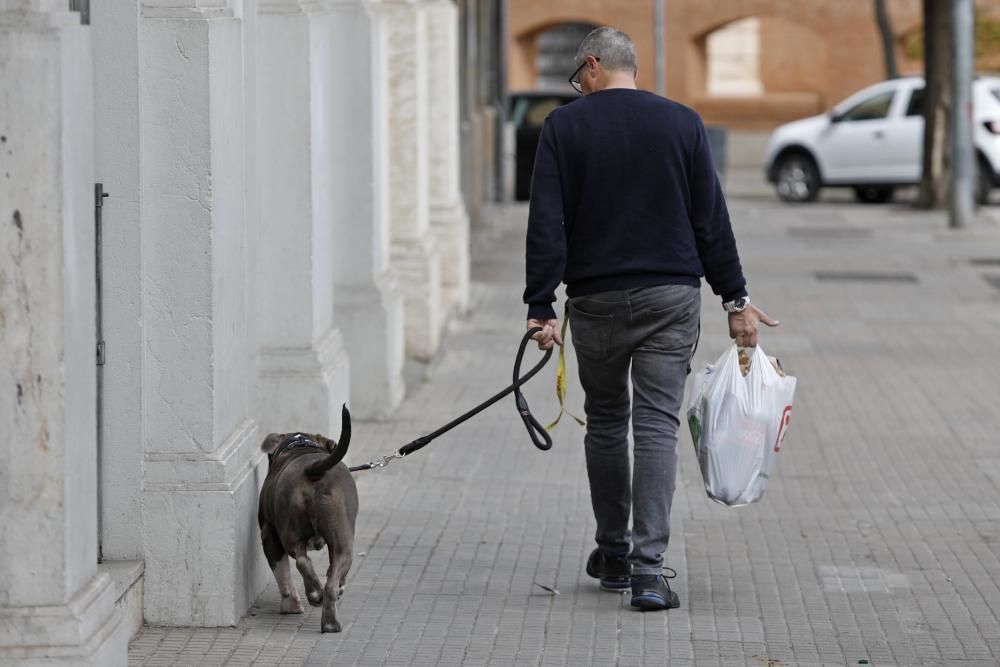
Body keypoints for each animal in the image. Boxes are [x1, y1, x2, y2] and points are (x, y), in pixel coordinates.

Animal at [258, 404, 360, 636]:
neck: (299, 444)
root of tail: (313, 468)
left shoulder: (269, 534)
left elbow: (282, 573)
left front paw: (290, 606)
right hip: (343, 541)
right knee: (330, 577)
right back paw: (328, 617)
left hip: (293, 532)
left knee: (302, 561)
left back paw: (315, 595)